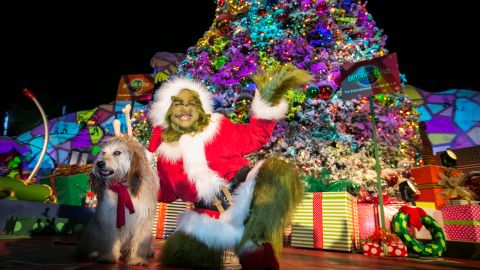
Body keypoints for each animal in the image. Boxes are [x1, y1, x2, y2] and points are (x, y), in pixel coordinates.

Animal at [75, 136, 158, 264]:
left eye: (117, 153)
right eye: (103, 153)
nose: (99, 163)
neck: (124, 186)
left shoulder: (143, 220)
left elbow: (140, 241)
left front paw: (137, 258)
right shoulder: (109, 217)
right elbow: (110, 239)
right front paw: (109, 256)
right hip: (93, 230)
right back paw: (92, 253)